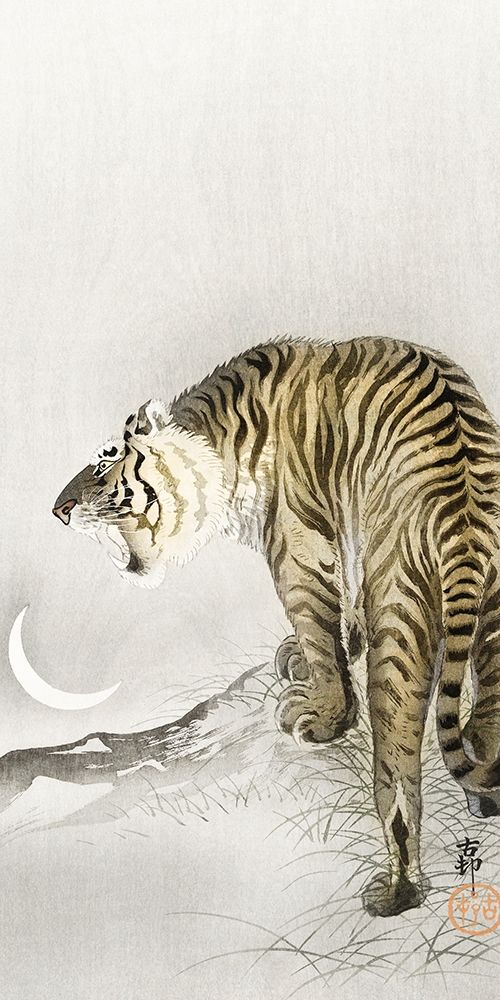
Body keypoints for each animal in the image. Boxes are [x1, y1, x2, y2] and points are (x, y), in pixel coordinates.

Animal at [52, 336, 500, 917]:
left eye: (106, 461)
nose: (58, 509)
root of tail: (465, 509)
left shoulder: (297, 546)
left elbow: (318, 626)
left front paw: (323, 714)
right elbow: (342, 614)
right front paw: (307, 656)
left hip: (401, 612)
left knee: (398, 772)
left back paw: (396, 890)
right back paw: (485, 795)